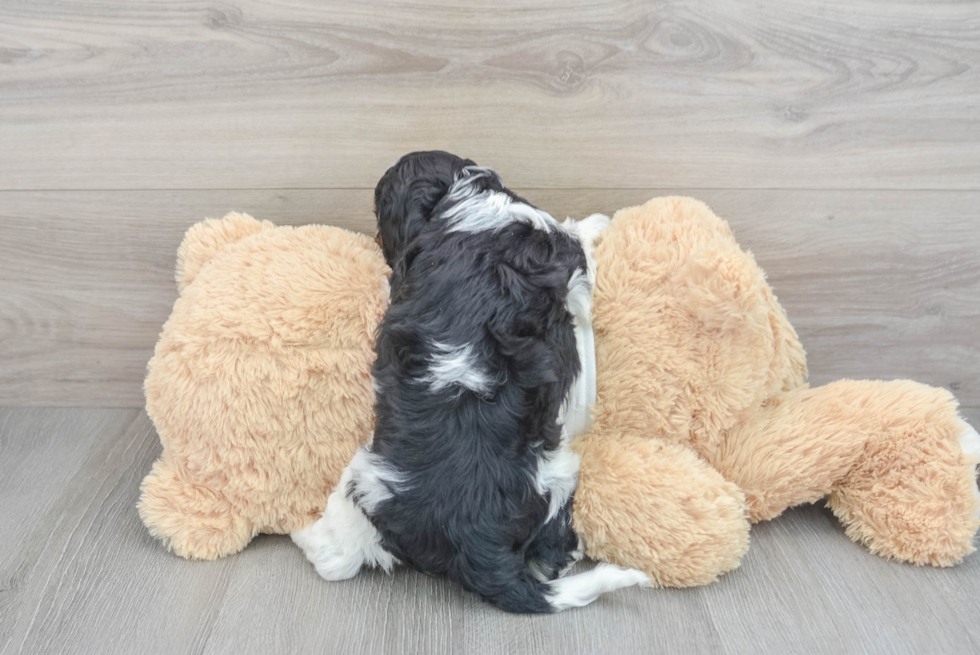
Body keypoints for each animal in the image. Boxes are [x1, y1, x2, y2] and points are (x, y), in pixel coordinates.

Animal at [294, 151, 648, 612]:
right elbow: (577, 238)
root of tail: (472, 543)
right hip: (556, 472)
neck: (455, 195)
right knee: (552, 550)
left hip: (364, 480)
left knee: (338, 558)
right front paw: (597, 222)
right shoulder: (561, 250)